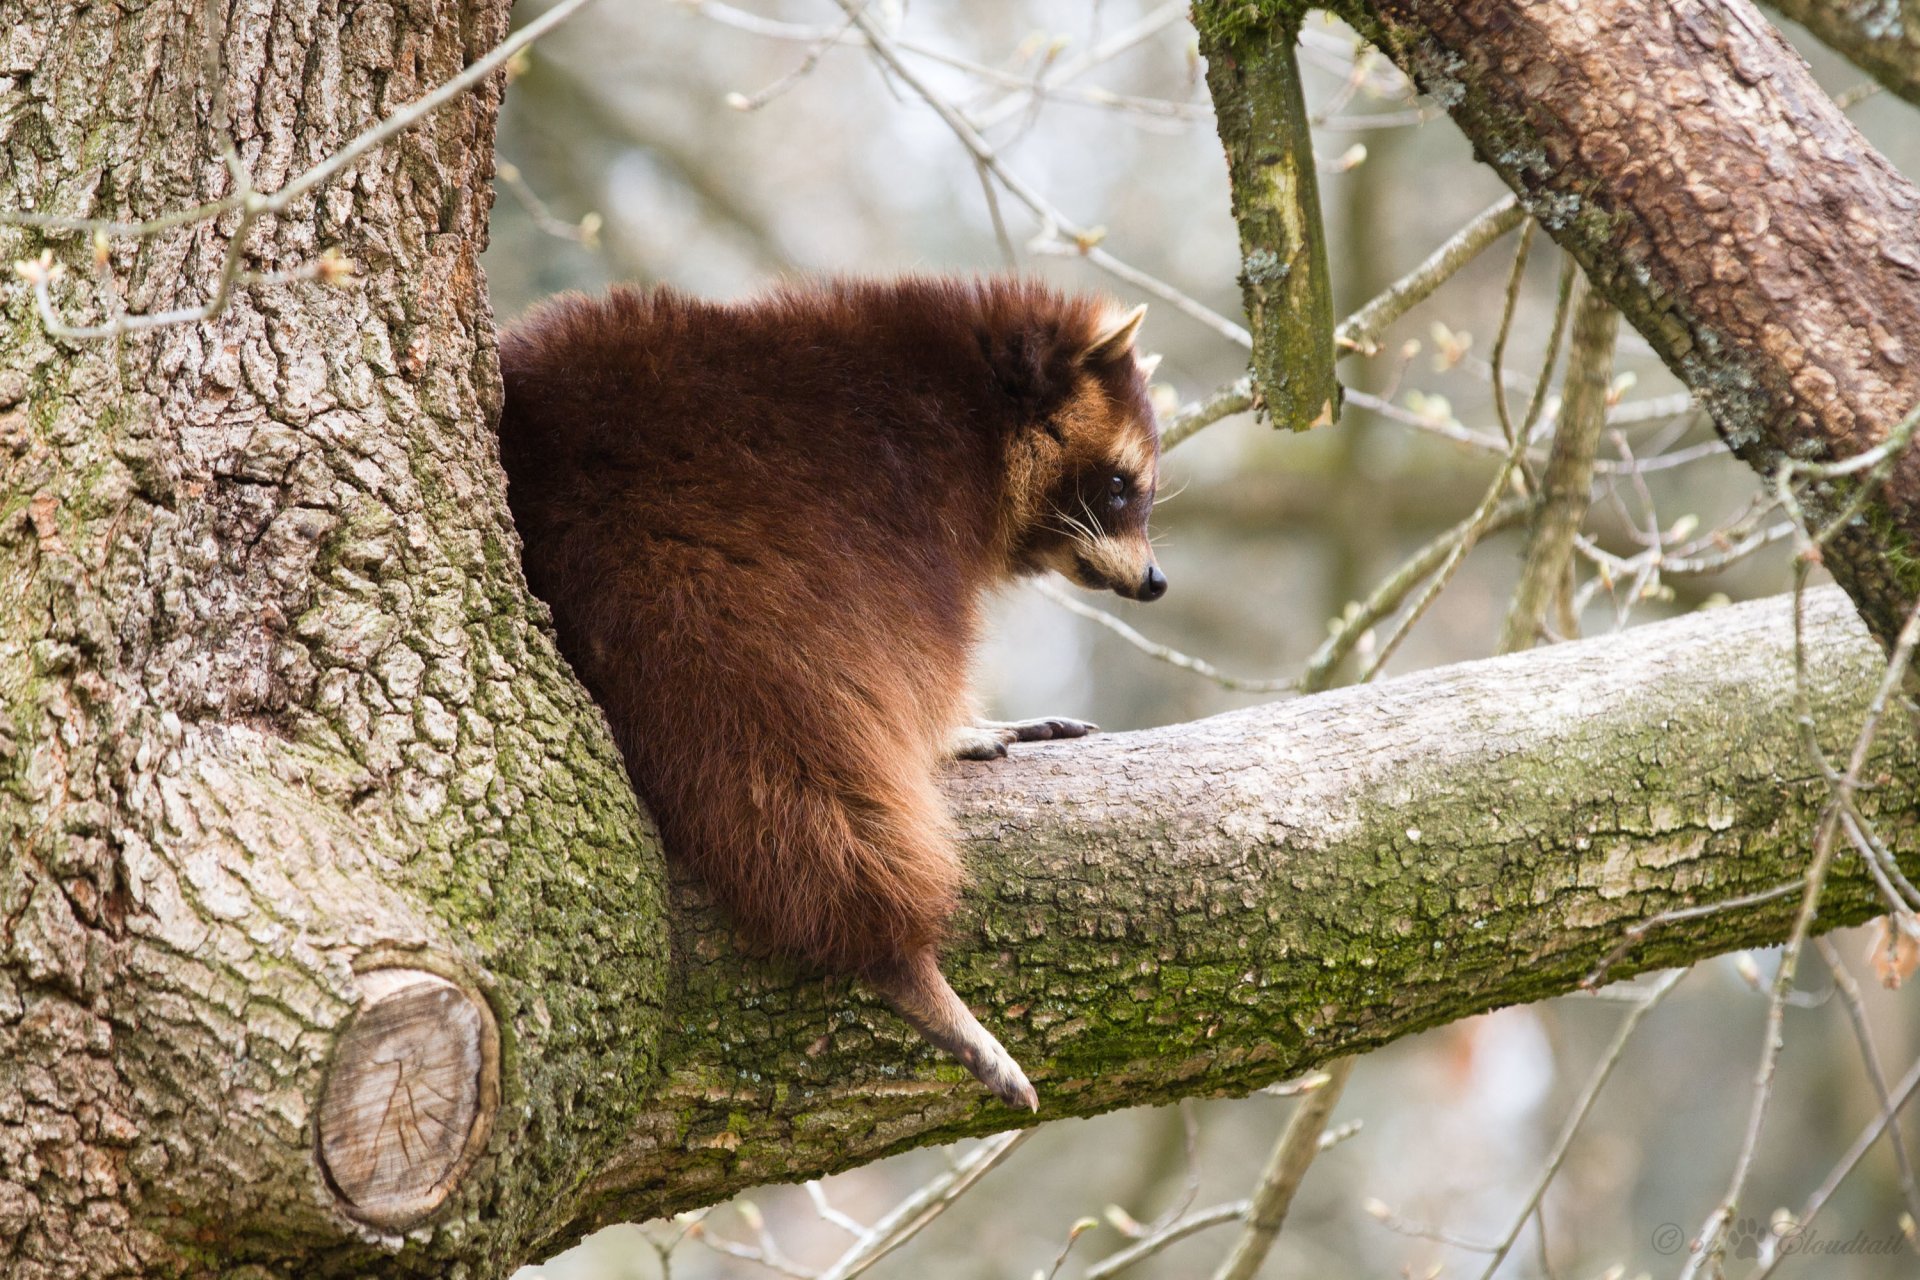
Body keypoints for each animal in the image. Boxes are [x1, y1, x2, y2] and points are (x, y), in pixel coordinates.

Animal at [495, 276, 1159, 1105]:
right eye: (1119, 486)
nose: (1155, 581)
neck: (975, 397)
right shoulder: (898, 504)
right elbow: (910, 668)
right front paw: (952, 730)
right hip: (698, 566)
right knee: (799, 759)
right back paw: (895, 950)